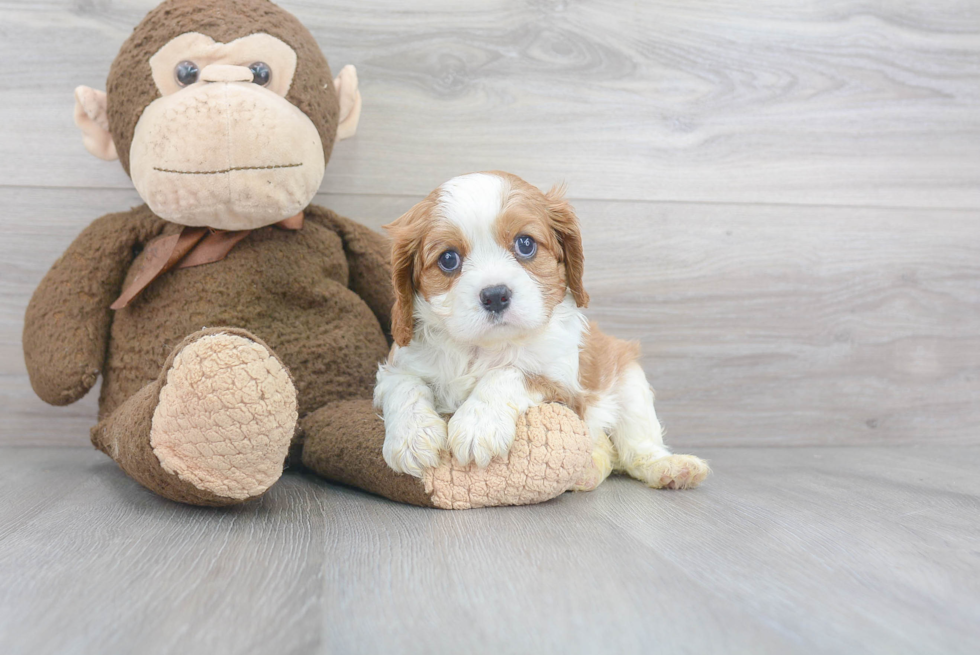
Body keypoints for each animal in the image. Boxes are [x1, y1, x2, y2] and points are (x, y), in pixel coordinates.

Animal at [372, 172, 708, 490]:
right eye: (448, 259)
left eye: (525, 244)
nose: (495, 295)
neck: (484, 348)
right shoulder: (398, 365)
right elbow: (405, 386)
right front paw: (412, 436)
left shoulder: (565, 386)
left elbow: (512, 372)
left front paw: (479, 423)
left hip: (629, 380)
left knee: (635, 448)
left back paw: (669, 467)